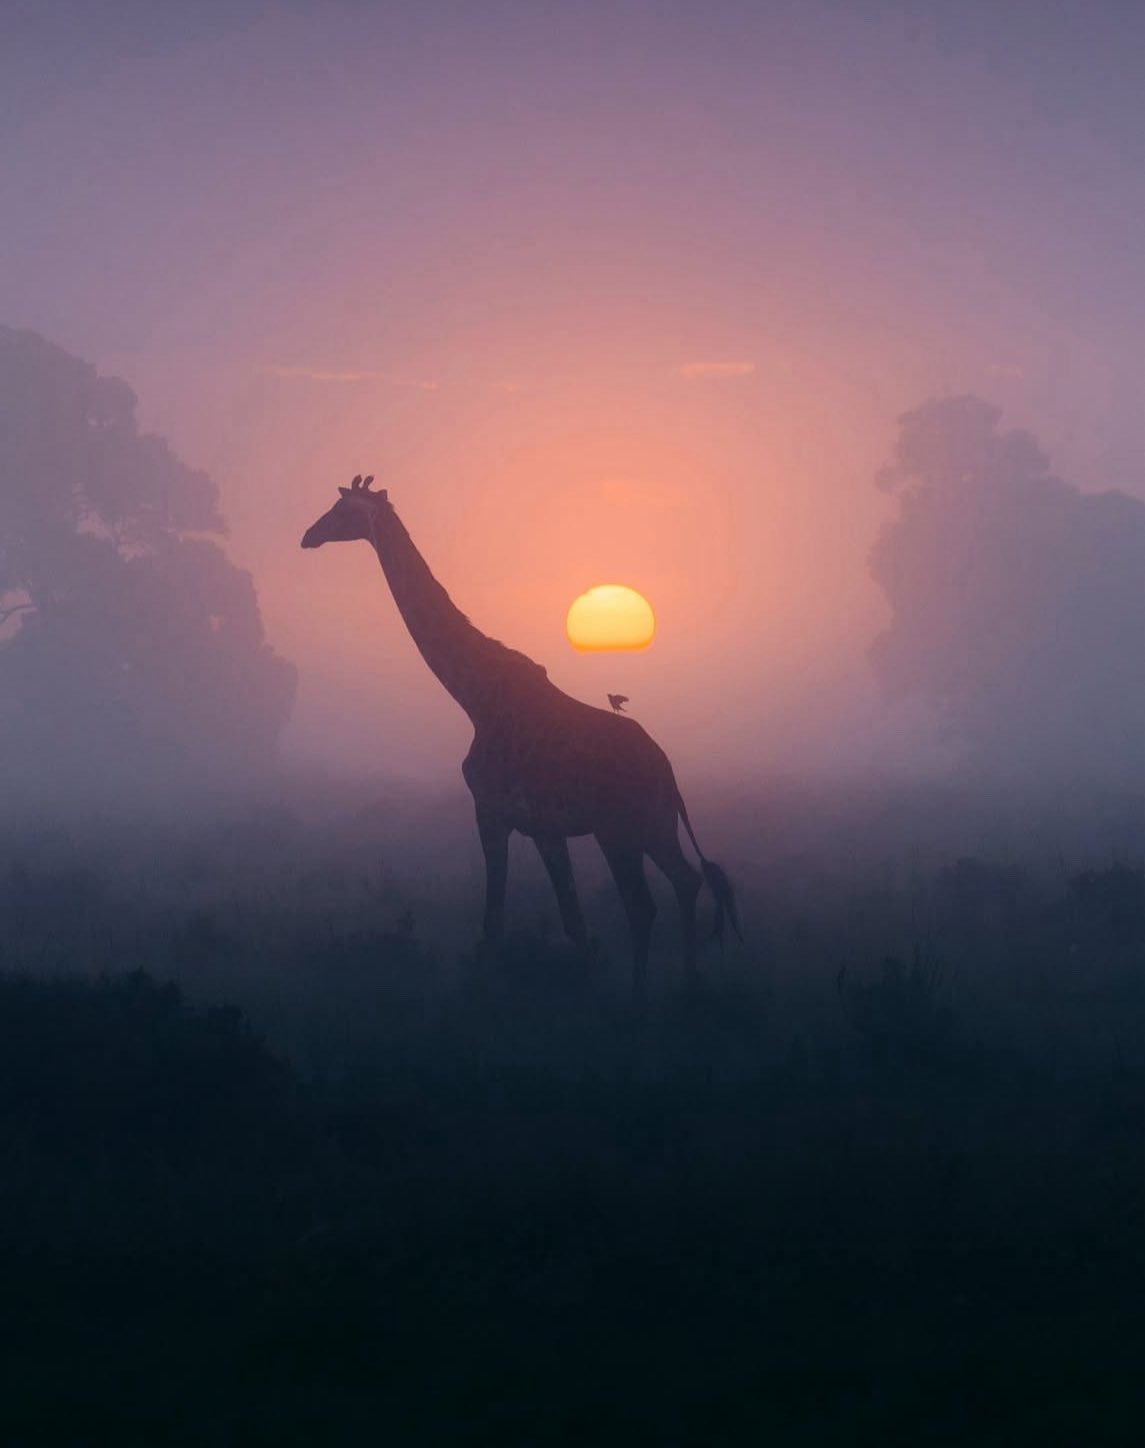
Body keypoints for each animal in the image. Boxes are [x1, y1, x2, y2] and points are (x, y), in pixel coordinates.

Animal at [301, 475, 741, 992]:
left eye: (341, 510)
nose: (308, 536)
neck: (476, 699)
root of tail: (668, 772)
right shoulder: (541, 828)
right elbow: (569, 923)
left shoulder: (495, 813)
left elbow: (498, 922)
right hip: (654, 824)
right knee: (686, 881)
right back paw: (687, 983)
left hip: (617, 829)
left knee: (643, 904)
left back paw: (641, 995)